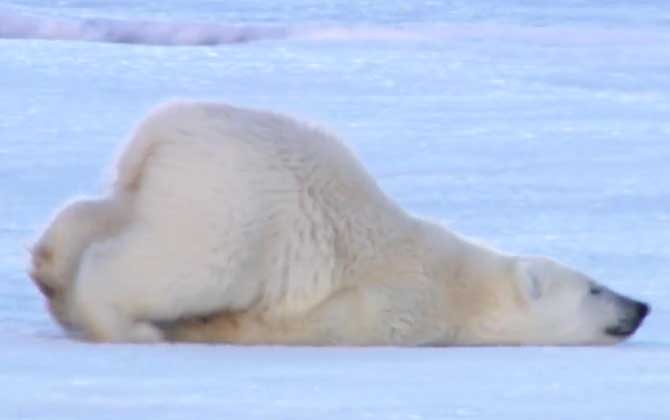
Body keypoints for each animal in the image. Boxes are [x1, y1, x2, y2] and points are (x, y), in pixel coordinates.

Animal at [30, 101, 652, 344]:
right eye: (595, 287)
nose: (642, 306)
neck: (461, 286)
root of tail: (164, 131)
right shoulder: (380, 308)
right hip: (234, 208)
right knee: (175, 267)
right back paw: (128, 326)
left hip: (169, 186)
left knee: (104, 216)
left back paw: (49, 265)